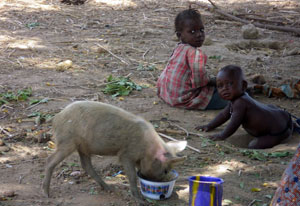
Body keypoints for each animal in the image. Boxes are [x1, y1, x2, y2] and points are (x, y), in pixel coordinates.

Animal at [42, 100, 188, 204]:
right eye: (165, 170)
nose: (165, 179)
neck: (148, 148)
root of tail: (56, 118)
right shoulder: (126, 154)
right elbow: (132, 176)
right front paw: (141, 201)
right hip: (67, 141)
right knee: (49, 160)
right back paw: (47, 194)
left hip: (83, 147)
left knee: (86, 165)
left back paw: (109, 188)